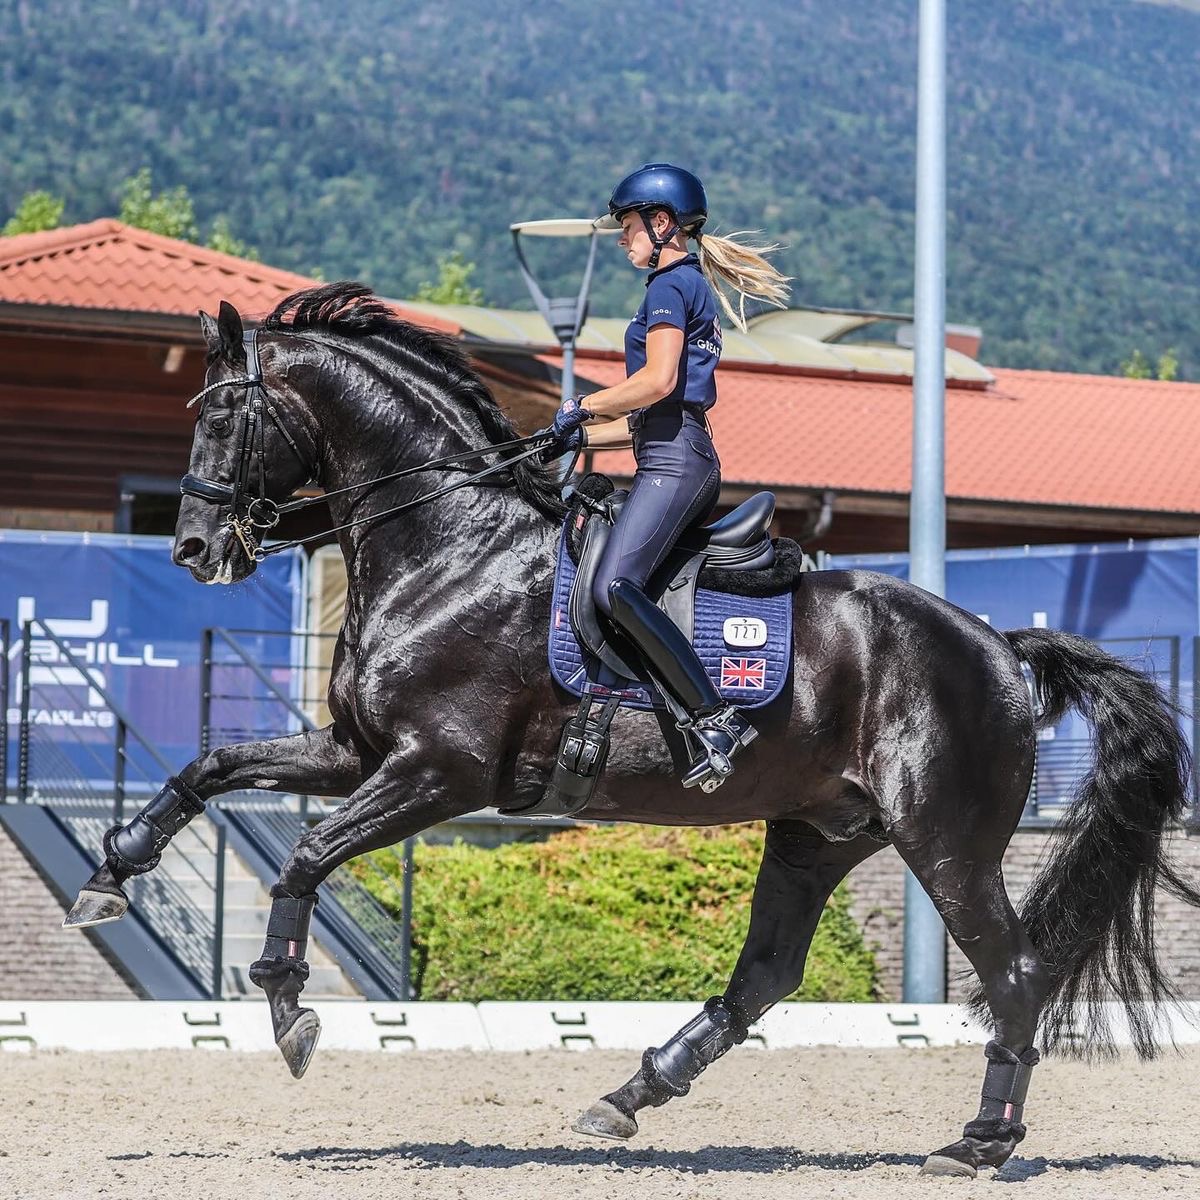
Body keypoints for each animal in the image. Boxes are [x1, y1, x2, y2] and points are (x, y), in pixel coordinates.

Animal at [65, 282, 1199, 1179]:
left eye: (225, 415)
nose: (196, 548)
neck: (450, 544)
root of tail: (1002, 646)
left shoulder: (440, 772)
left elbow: (304, 854)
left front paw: (286, 1006)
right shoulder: (360, 754)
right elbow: (211, 767)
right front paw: (109, 874)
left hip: (946, 839)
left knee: (1013, 975)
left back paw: (979, 1141)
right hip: (821, 832)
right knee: (765, 978)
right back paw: (627, 1096)